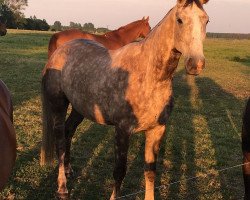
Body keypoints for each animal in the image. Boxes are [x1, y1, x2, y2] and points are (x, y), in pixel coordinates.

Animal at [41, 0, 209, 199]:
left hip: (79, 108)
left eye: (206, 20)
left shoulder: (157, 129)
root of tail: (59, 51)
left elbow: (150, 171)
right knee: (59, 141)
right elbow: (119, 171)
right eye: (180, 20)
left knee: (69, 131)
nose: (196, 64)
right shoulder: (122, 130)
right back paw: (62, 188)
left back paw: (68, 170)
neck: (149, 75)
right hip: (58, 105)